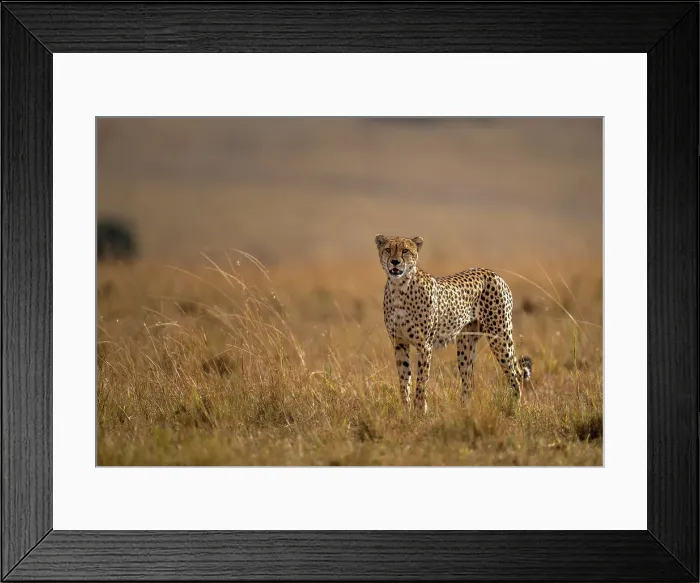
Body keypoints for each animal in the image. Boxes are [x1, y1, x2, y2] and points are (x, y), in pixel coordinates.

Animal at [375, 234, 532, 413]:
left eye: (405, 250)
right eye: (388, 250)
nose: (395, 262)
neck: (399, 288)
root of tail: (492, 273)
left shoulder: (424, 345)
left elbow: (421, 380)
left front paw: (420, 411)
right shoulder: (399, 343)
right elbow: (404, 380)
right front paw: (406, 411)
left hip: (499, 334)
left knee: (516, 373)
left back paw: (515, 409)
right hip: (465, 344)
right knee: (468, 380)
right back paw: (464, 411)